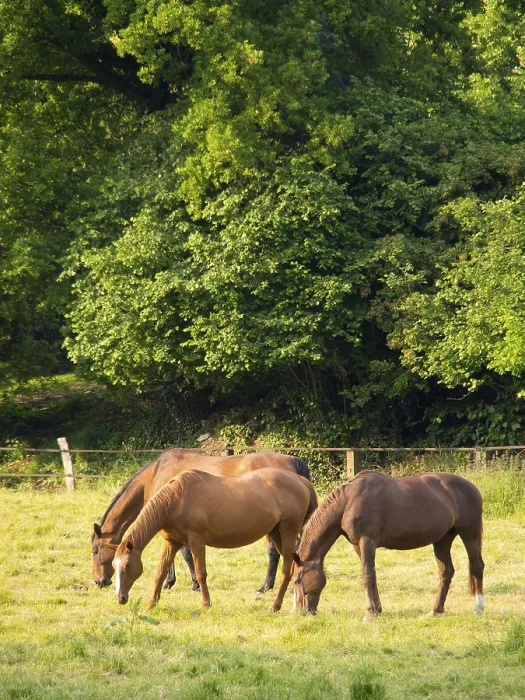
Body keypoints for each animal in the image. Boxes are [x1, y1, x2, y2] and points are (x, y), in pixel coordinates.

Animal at [91, 448, 311, 594]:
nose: (99, 581)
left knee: (277, 552)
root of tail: (294, 462)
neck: (156, 476)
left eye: (95, 550)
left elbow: (186, 555)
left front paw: (186, 584)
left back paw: (267, 586)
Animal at [113, 468, 318, 612]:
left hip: (288, 531)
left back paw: (276, 605)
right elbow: (160, 572)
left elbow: (200, 573)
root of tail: (300, 480)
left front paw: (206, 604)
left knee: (287, 568)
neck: (176, 499)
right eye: (114, 566)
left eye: (128, 565)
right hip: (276, 533)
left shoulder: (196, 541)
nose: (120, 598)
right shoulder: (172, 542)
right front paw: (151, 604)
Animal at [291, 470, 484, 620]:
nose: (302, 612)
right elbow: (371, 575)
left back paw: (478, 608)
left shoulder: (367, 541)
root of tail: (471, 487)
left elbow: (367, 575)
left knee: (477, 567)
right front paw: (377, 610)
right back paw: (436, 610)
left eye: (296, 580)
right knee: (446, 572)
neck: (349, 501)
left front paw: (370, 613)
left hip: (470, 534)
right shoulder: (358, 545)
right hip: (442, 540)